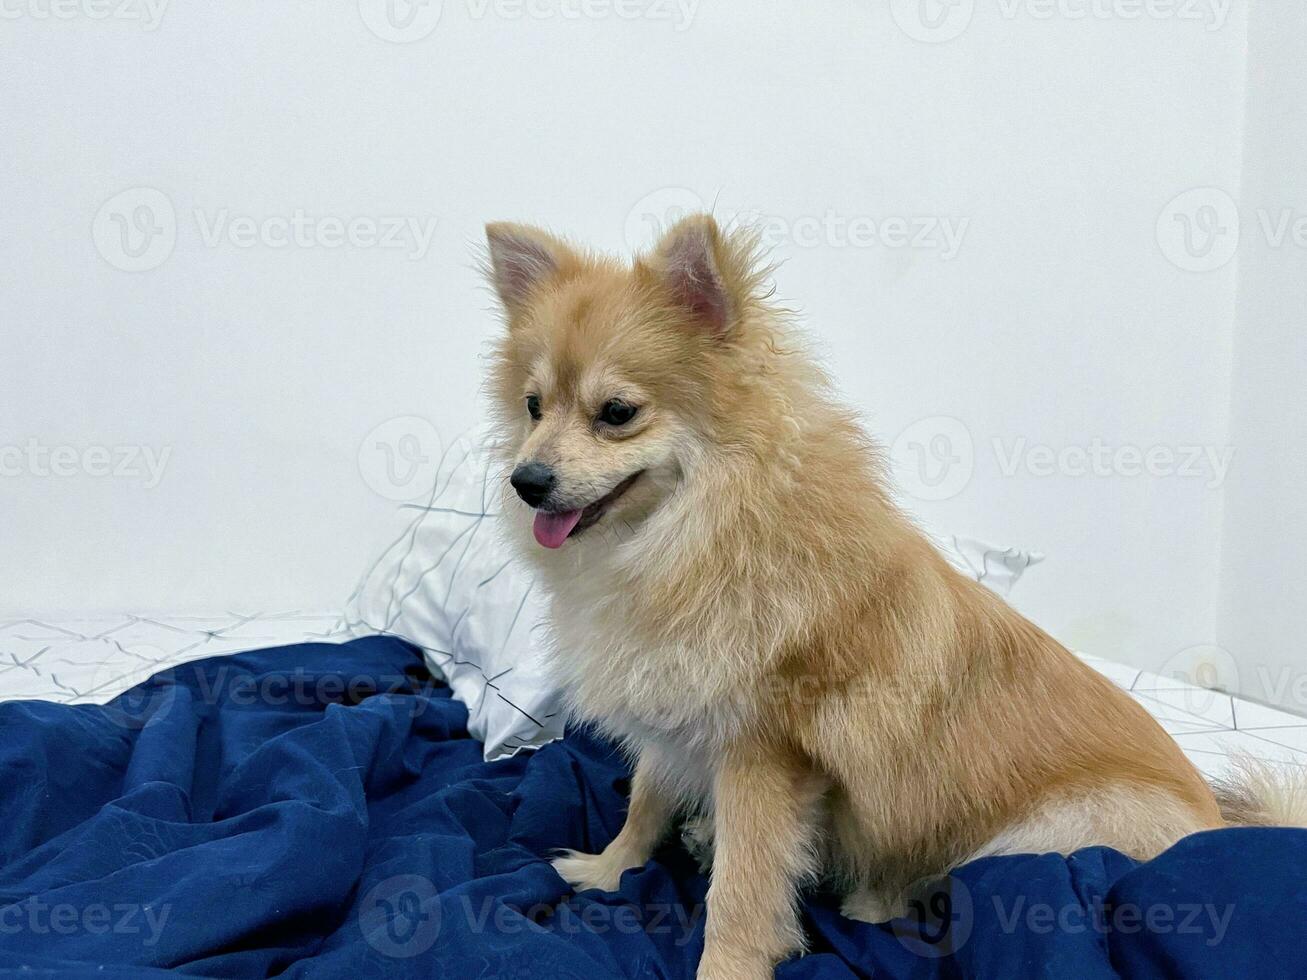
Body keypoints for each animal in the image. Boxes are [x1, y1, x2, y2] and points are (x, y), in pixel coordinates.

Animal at [483, 214, 1307, 980]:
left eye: (616, 414)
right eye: (532, 408)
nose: (527, 480)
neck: (689, 540)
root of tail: (1212, 820)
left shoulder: (762, 754)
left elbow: (742, 889)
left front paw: (727, 965)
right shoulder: (676, 700)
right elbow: (646, 801)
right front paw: (609, 868)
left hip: (1048, 838)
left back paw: (870, 896)